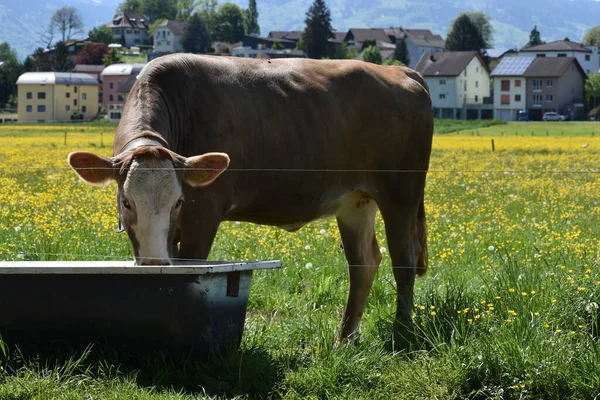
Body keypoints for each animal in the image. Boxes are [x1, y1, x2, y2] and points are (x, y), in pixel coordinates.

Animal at [68, 53, 434, 340]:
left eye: (179, 202)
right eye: (126, 202)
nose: (154, 264)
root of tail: (399, 70)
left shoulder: (204, 212)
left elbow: (190, 268)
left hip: (400, 194)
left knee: (404, 258)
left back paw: (401, 331)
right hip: (356, 201)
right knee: (364, 262)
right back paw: (343, 339)